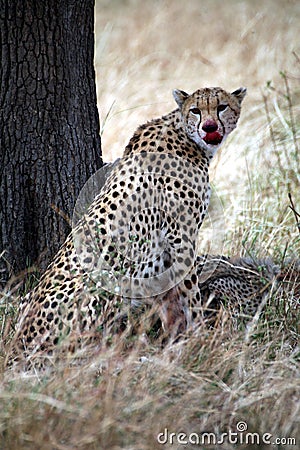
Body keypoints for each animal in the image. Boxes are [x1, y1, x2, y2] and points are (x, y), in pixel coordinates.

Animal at [10, 86, 247, 360]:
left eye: (221, 107)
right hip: (105, 284)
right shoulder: (181, 237)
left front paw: (178, 341)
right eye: (196, 110)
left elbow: (170, 300)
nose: (209, 127)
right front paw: (201, 338)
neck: (186, 136)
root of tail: (20, 341)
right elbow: (190, 294)